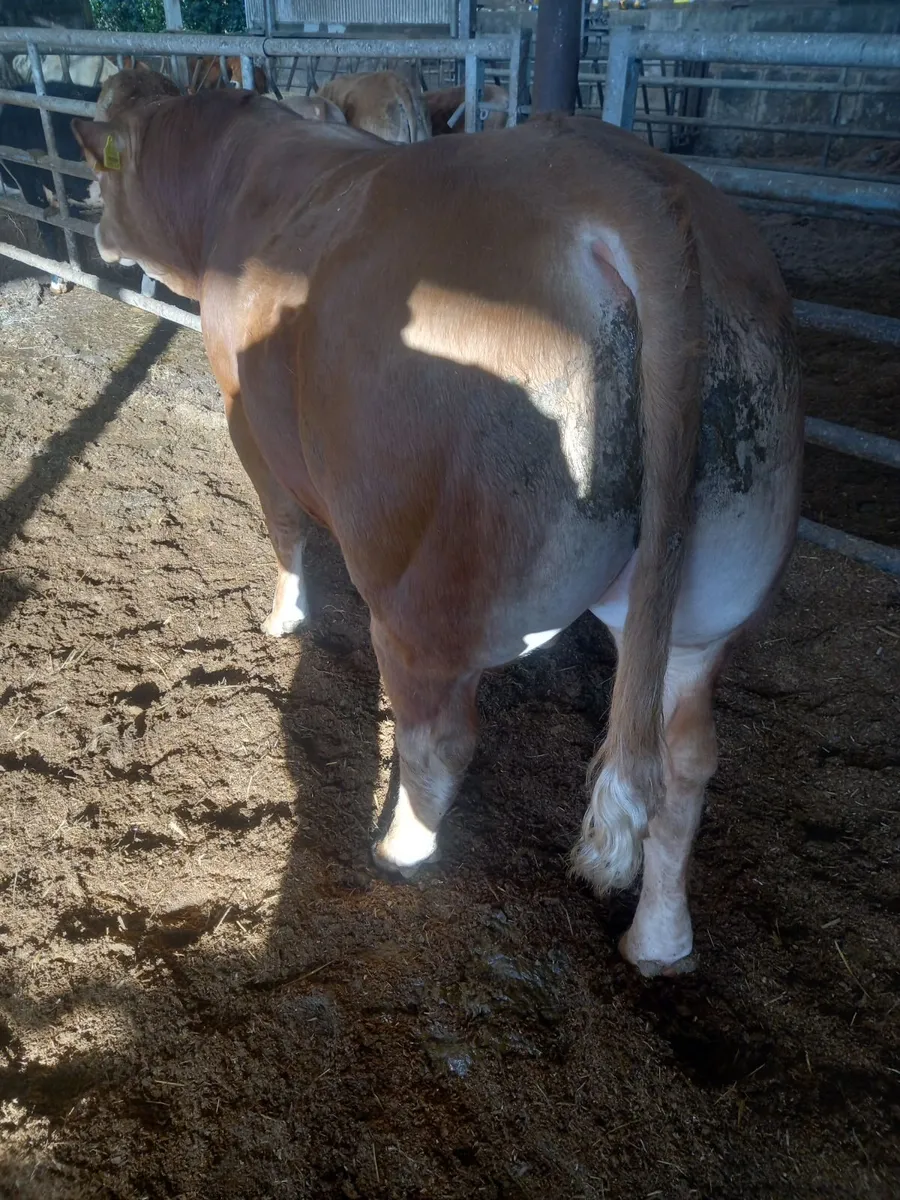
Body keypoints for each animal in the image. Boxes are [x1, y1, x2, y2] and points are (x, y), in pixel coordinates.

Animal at [73, 88, 803, 975]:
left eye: (102, 172)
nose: (94, 228)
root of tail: (611, 175)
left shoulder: (242, 410)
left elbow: (282, 526)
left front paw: (283, 618)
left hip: (424, 598)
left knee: (439, 740)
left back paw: (398, 852)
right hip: (709, 594)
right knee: (687, 760)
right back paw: (659, 942)